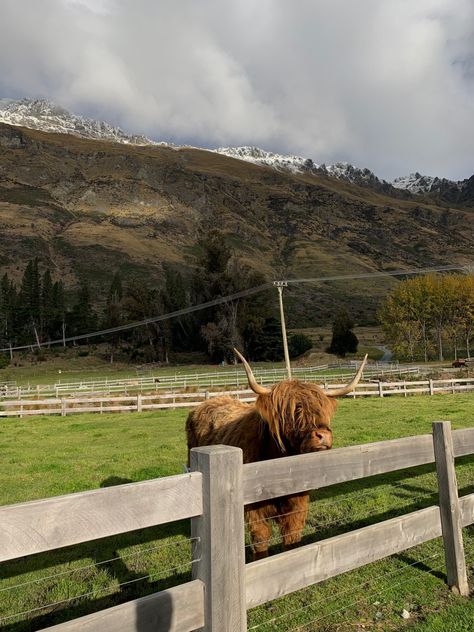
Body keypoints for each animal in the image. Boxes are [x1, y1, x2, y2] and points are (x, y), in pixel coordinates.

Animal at [185, 348, 366, 560]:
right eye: (293, 411)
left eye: (321, 409)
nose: (323, 436)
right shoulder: (255, 508)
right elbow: (260, 539)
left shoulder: (297, 505)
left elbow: (292, 538)